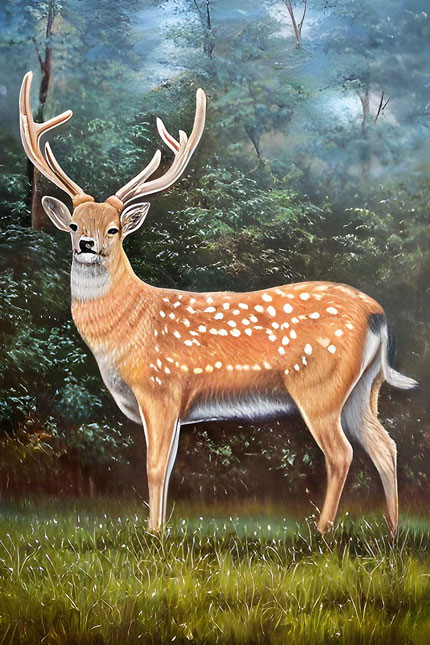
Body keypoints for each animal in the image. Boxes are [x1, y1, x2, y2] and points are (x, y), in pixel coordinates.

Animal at [19, 71, 417, 536]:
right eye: (74, 225)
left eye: (114, 229)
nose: (86, 245)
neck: (128, 329)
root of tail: (378, 313)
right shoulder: (173, 404)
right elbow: (168, 466)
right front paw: (160, 529)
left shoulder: (161, 388)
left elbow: (155, 467)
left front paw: (152, 534)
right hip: (364, 387)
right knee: (385, 445)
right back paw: (391, 532)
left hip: (319, 385)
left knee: (342, 453)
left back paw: (321, 532)